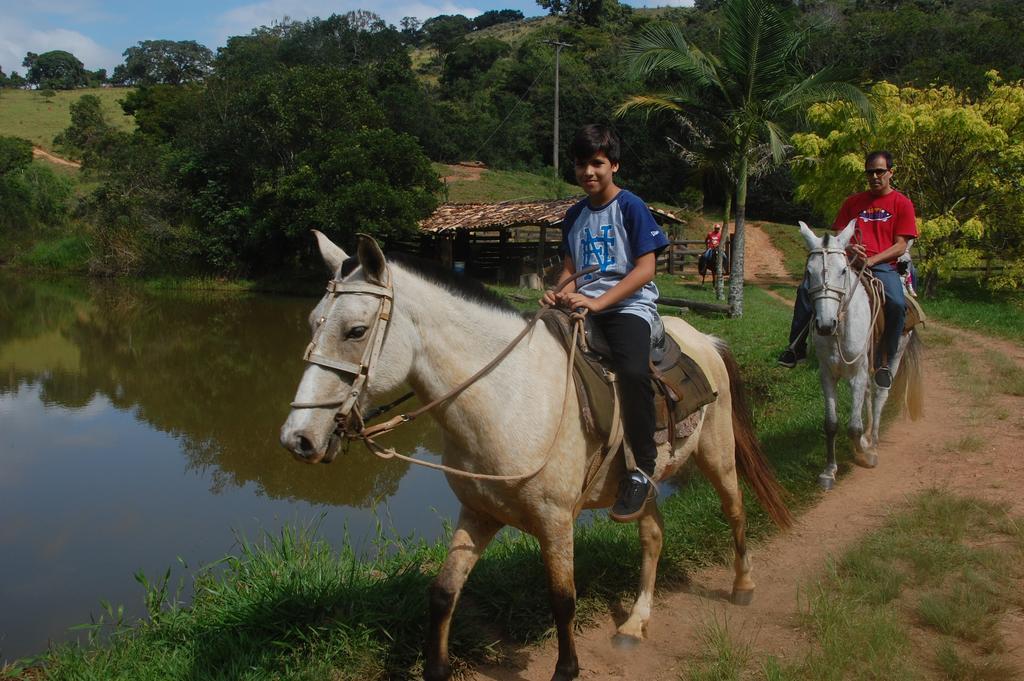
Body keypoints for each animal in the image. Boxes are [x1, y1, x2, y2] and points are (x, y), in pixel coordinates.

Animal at [280, 232, 790, 679]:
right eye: (311, 324)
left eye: (356, 330)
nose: (297, 439)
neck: (507, 396)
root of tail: (707, 339)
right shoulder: (479, 513)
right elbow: (443, 591)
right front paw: (437, 668)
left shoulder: (555, 519)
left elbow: (563, 598)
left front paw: (566, 670)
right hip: (640, 485)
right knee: (653, 536)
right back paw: (634, 624)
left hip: (718, 455)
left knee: (736, 511)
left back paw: (742, 586)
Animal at [798, 220, 929, 485]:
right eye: (809, 272)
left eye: (842, 271)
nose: (825, 325)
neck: (840, 327)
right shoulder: (827, 374)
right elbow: (831, 423)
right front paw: (829, 470)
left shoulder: (857, 374)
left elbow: (853, 426)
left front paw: (863, 454)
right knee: (869, 395)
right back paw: (868, 438)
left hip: (893, 355)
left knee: (879, 394)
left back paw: (873, 441)